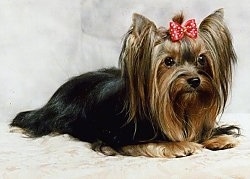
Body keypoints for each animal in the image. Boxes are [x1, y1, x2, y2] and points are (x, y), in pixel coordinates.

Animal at [10, 9, 240, 157]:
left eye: (201, 59)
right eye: (168, 61)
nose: (194, 80)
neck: (179, 107)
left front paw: (219, 138)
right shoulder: (123, 137)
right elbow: (151, 143)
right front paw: (179, 145)